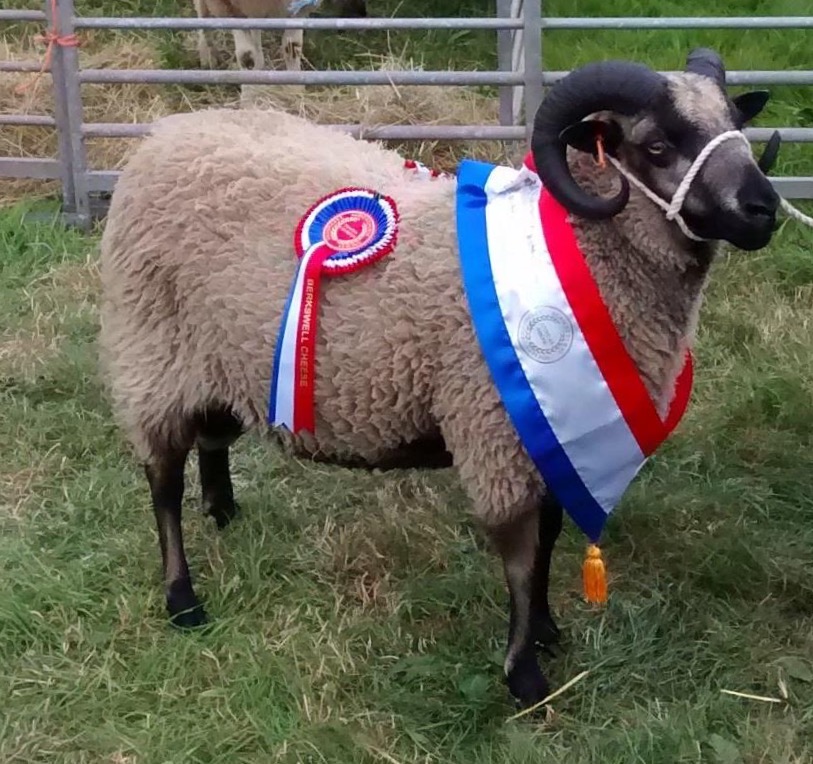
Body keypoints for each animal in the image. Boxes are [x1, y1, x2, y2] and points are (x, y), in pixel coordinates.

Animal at [98, 48, 781, 709]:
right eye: (658, 145)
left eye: (735, 124)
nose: (764, 209)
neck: (578, 249)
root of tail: (168, 132)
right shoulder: (498, 432)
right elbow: (520, 554)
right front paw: (524, 678)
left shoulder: (557, 434)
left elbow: (551, 537)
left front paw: (546, 630)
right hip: (152, 349)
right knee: (162, 478)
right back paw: (182, 599)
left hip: (219, 356)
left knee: (212, 437)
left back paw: (223, 510)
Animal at [193, 0, 367, 73]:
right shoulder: (229, 8)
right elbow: (246, 56)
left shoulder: (298, 10)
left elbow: (292, 48)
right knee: (202, 16)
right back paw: (207, 58)